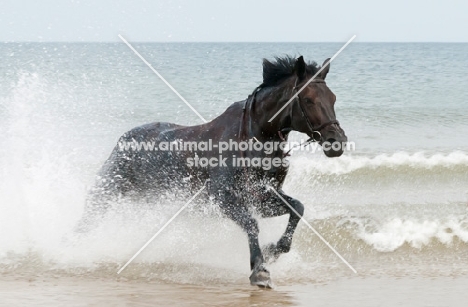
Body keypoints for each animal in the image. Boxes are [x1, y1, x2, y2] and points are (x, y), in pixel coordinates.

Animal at [78, 56, 346, 288]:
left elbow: (297, 208)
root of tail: (124, 138)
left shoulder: (261, 197)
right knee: (86, 221)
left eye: (333, 98)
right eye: (308, 99)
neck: (252, 138)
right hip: (106, 193)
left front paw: (273, 251)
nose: (337, 142)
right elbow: (252, 225)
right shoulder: (223, 198)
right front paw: (259, 270)